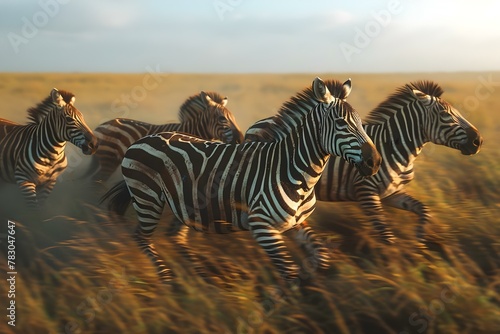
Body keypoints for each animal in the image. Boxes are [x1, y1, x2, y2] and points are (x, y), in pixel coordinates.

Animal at [88, 90, 244, 183]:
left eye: (234, 117)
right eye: (222, 118)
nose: (240, 140)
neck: (191, 131)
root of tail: (99, 126)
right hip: (108, 159)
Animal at [244, 80, 482, 248]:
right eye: (445, 114)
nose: (478, 141)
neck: (393, 147)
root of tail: (256, 124)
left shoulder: (391, 193)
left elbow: (423, 209)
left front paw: (420, 240)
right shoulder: (365, 191)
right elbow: (385, 233)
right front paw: (395, 265)